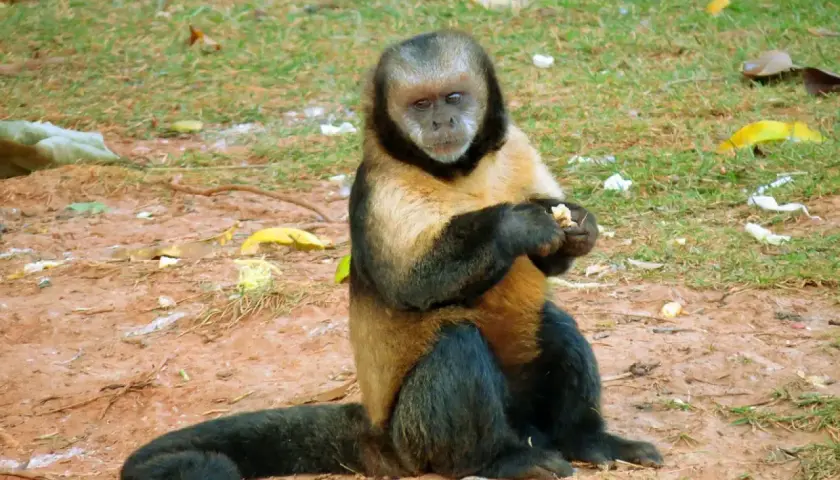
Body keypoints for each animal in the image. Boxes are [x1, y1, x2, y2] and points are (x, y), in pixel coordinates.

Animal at [119, 30, 663, 480]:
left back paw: (585, 441)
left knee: (554, 323)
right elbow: (411, 284)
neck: (457, 171)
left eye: (453, 97)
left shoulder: (516, 146)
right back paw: (497, 460)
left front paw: (577, 227)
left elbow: (552, 257)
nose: (441, 120)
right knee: (456, 345)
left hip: (523, 411)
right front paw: (516, 225)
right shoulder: (381, 182)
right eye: (420, 105)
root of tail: (380, 436)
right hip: (415, 438)